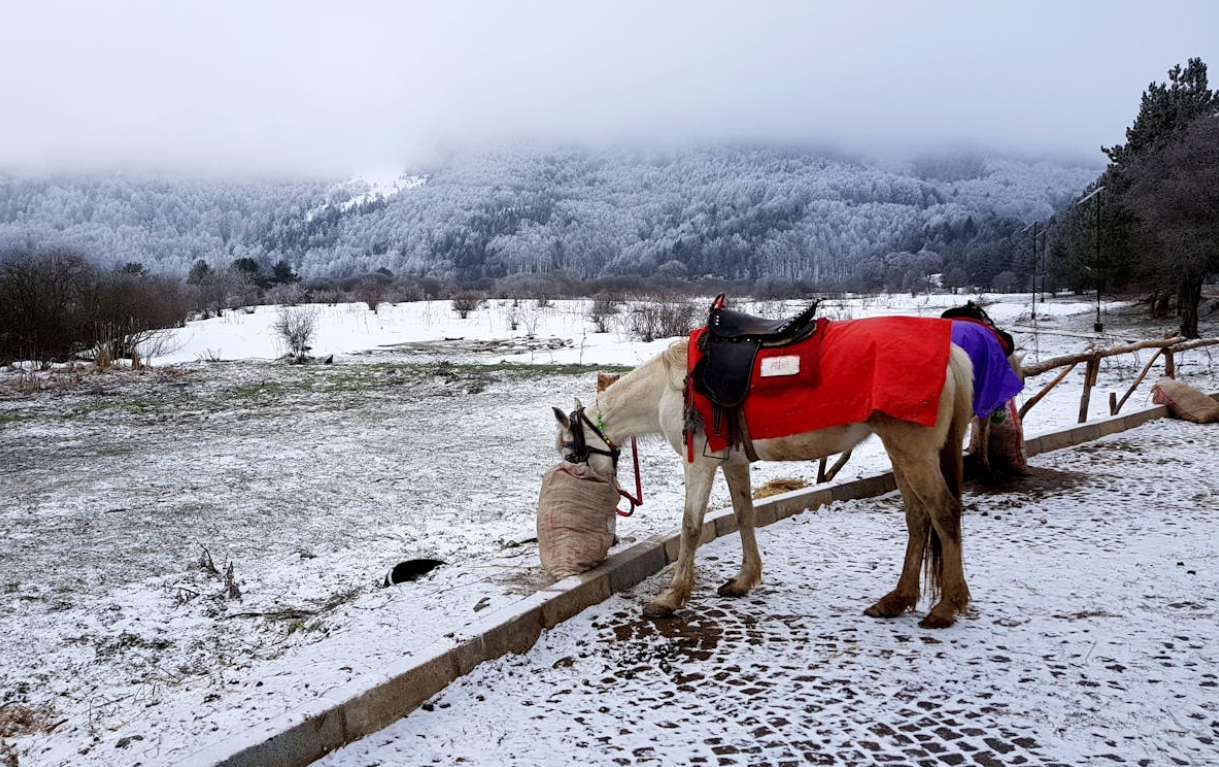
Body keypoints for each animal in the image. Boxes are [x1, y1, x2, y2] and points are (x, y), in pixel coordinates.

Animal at [558, 341, 975, 629]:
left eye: (570, 454)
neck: (670, 387)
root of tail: (952, 354)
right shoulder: (734, 463)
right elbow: (745, 515)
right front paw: (744, 581)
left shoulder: (699, 464)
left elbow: (690, 527)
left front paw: (671, 598)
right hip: (900, 452)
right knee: (918, 519)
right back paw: (897, 600)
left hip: (913, 453)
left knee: (943, 512)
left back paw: (946, 606)